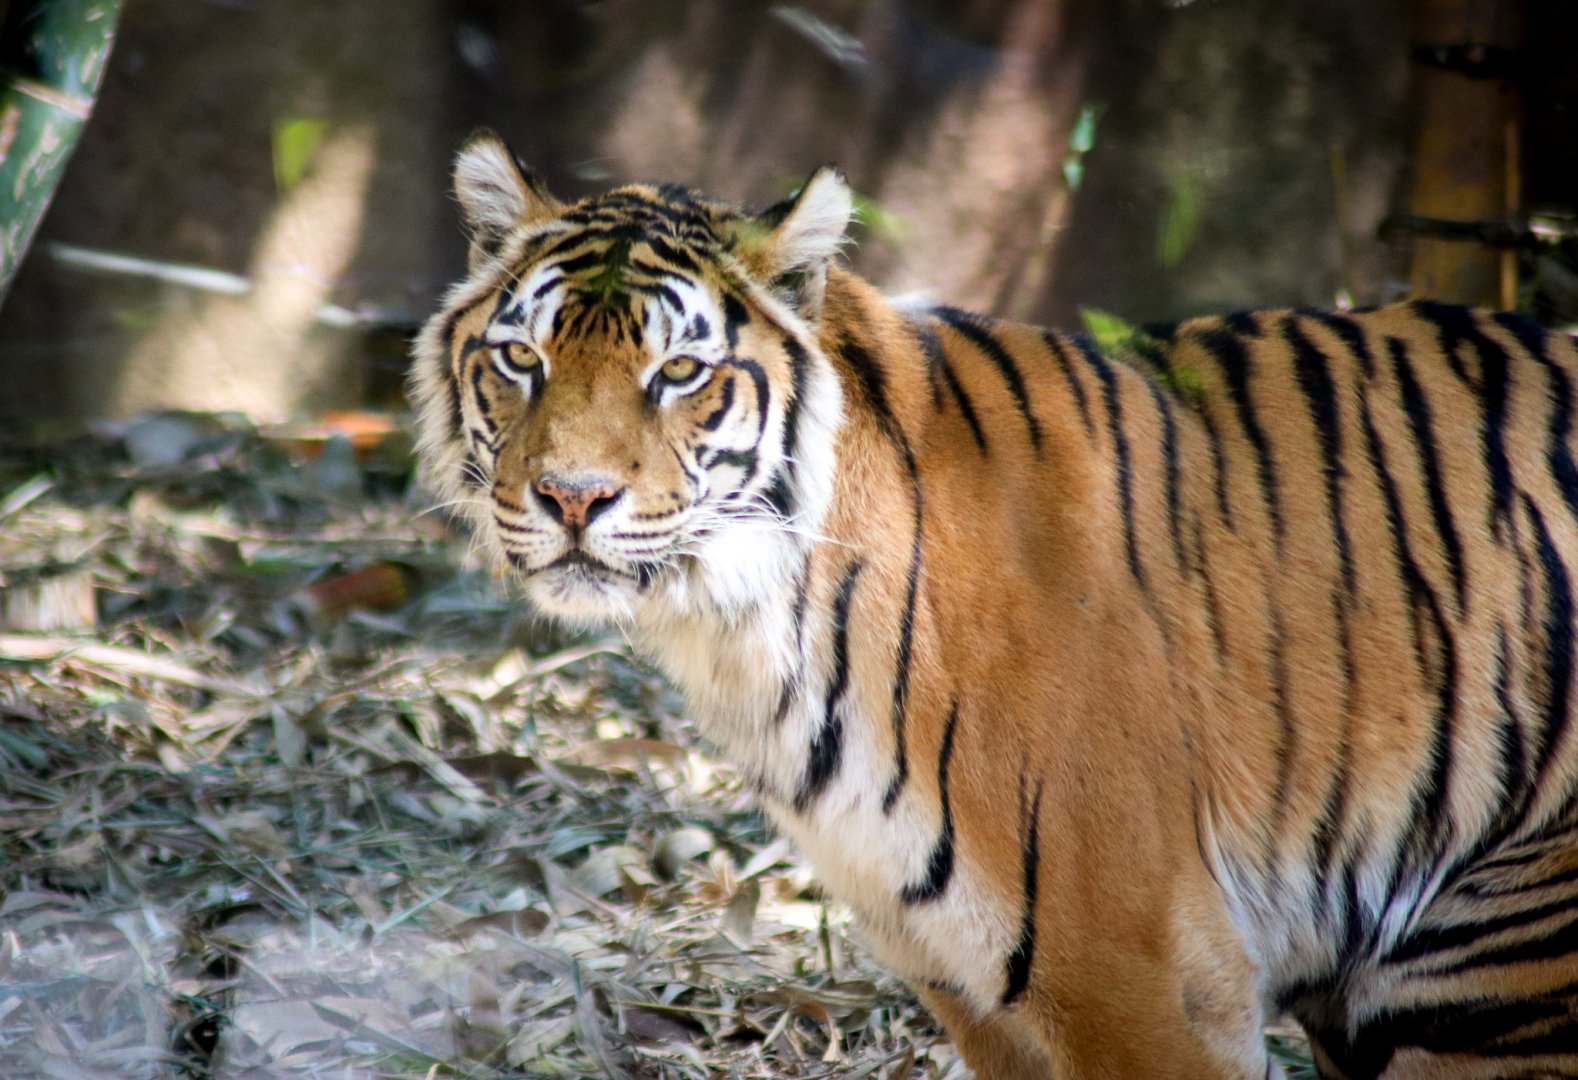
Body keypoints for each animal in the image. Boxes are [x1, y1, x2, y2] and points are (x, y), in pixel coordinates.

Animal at [410, 131, 1578, 1079]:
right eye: (522, 357)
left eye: (681, 372)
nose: (571, 497)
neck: (749, 631)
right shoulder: (971, 981)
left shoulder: (1145, 976)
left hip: (1484, 972)